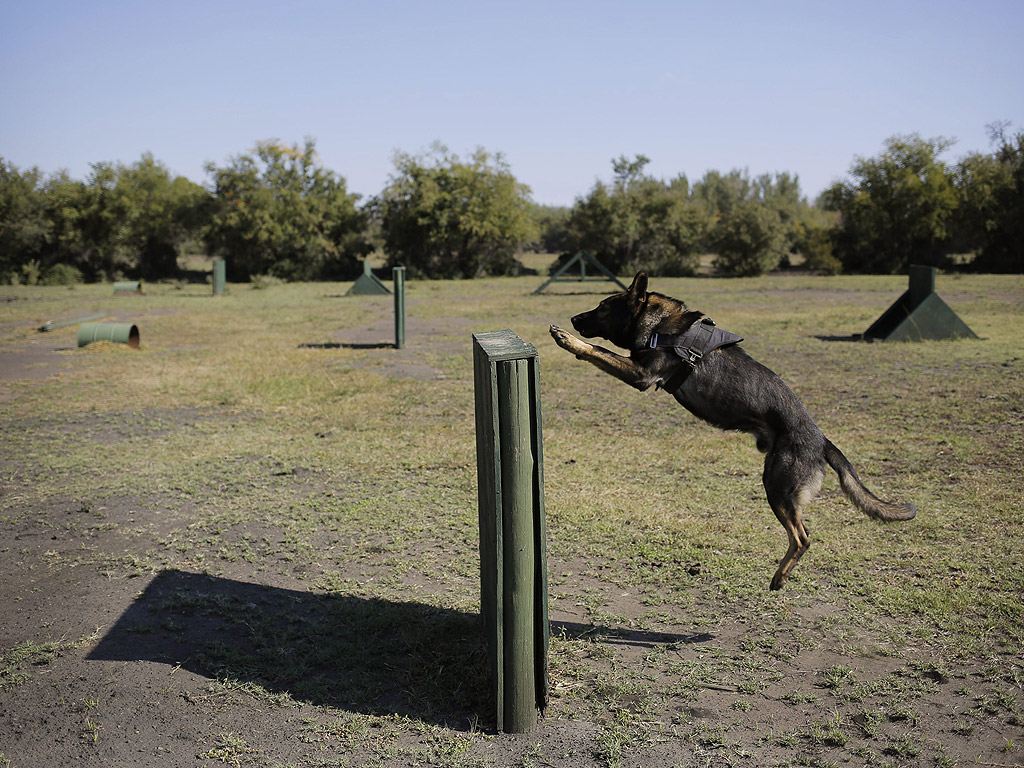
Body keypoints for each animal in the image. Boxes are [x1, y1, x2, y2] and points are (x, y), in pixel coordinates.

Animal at [548, 270, 917, 589]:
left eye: (603, 307)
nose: (574, 320)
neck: (661, 327)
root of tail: (822, 441)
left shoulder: (640, 374)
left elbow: (599, 350)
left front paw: (569, 340)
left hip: (777, 487)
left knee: (802, 538)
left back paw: (779, 577)